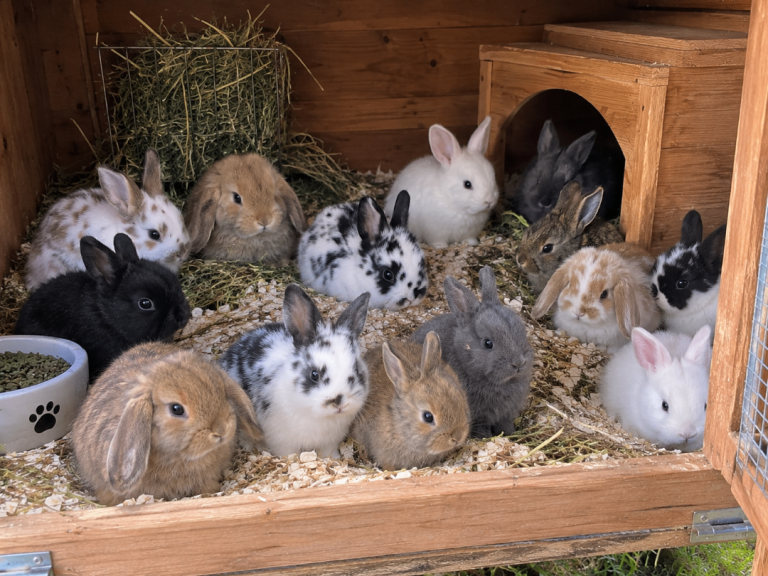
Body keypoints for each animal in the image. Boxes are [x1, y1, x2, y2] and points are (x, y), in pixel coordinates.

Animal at [219, 285, 370, 459]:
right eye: (314, 374)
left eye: (357, 370)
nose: (339, 402)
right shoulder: (282, 441)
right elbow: (289, 456)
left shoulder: (330, 442)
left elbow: (329, 454)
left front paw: (336, 460)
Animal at [383, 116, 499, 248]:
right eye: (467, 184)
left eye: (493, 177)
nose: (489, 201)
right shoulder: (435, 232)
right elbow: (437, 240)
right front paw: (440, 246)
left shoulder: (470, 232)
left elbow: (468, 239)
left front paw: (471, 243)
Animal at [412, 266, 534, 438]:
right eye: (488, 343)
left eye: (522, 332)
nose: (518, 363)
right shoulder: (479, 416)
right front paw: (485, 437)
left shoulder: (506, 414)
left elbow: (506, 425)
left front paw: (510, 434)